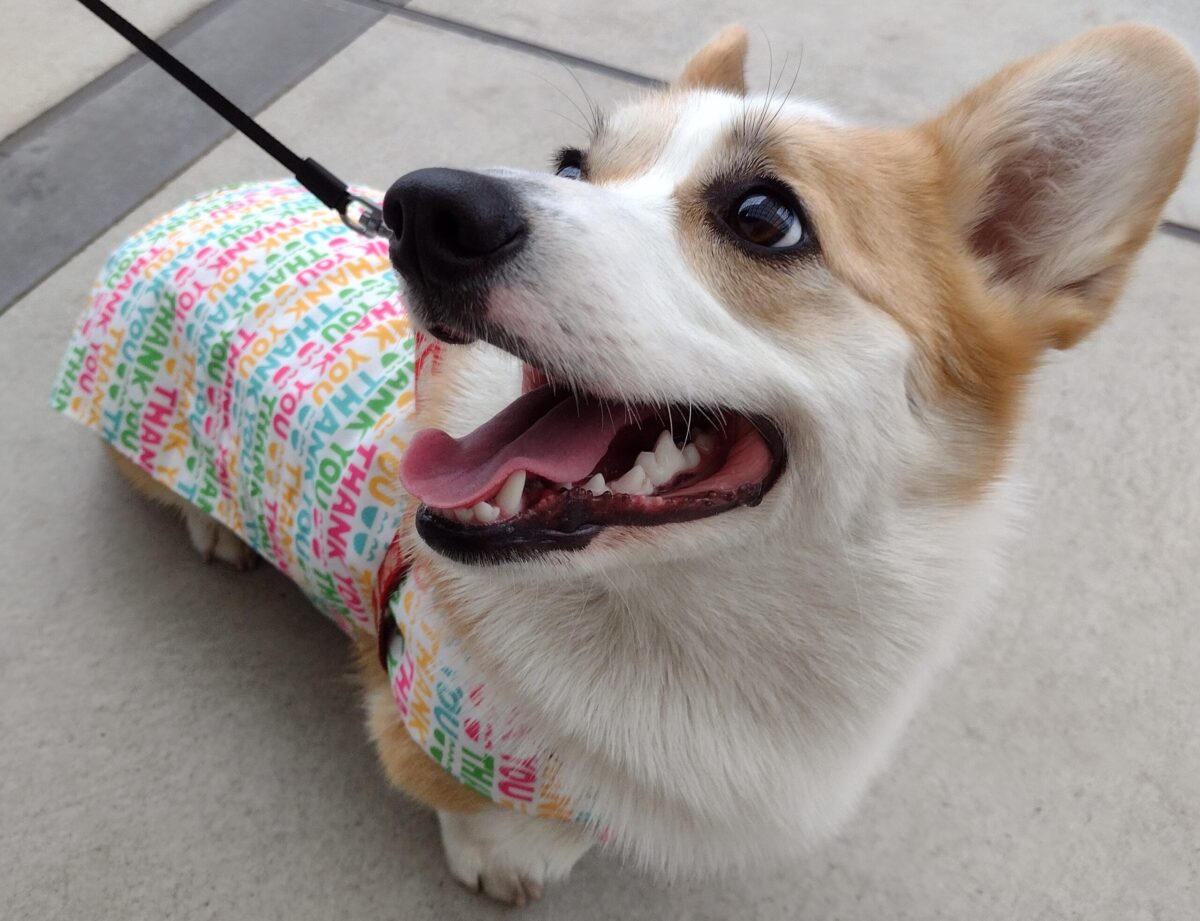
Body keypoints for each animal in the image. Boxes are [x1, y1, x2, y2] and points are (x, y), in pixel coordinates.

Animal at [98, 21, 1195, 906]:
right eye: (574, 167)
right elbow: (481, 810)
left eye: (764, 217)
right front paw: (513, 861)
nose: (420, 206)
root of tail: (196, 204)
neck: (713, 605)